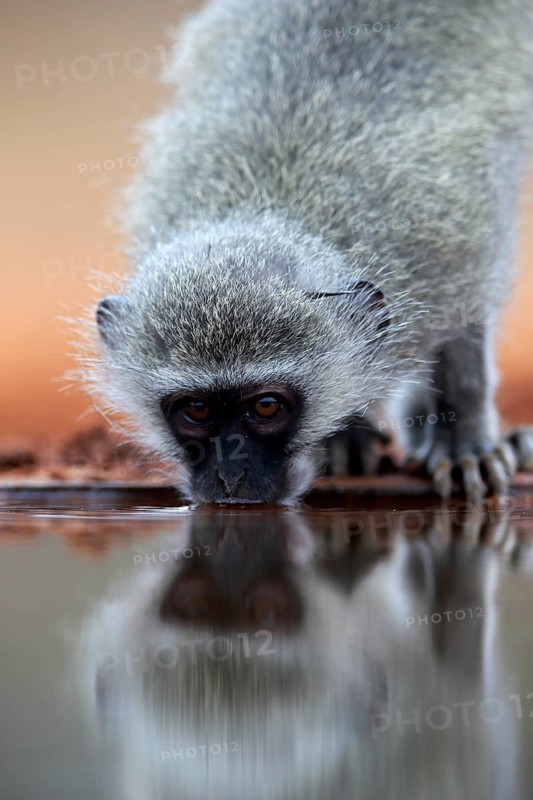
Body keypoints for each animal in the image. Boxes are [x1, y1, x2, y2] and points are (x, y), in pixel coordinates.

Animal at [85, 0, 533, 504]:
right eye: (196, 410)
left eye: (266, 406)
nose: (231, 479)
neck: (270, 204)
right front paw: (348, 434)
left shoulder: (452, 240)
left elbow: (464, 331)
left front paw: (463, 440)